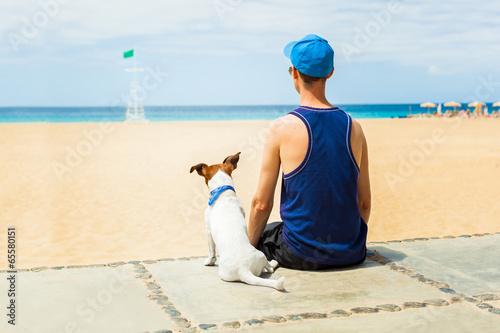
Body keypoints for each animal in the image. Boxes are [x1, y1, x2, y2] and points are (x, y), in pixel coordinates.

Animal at [191, 152, 286, 290]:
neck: (223, 194)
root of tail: (243, 269)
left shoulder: (208, 230)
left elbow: (211, 251)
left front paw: (209, 261)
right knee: (268, 269)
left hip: (260, 254)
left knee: (270, 269)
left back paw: (273, 262)